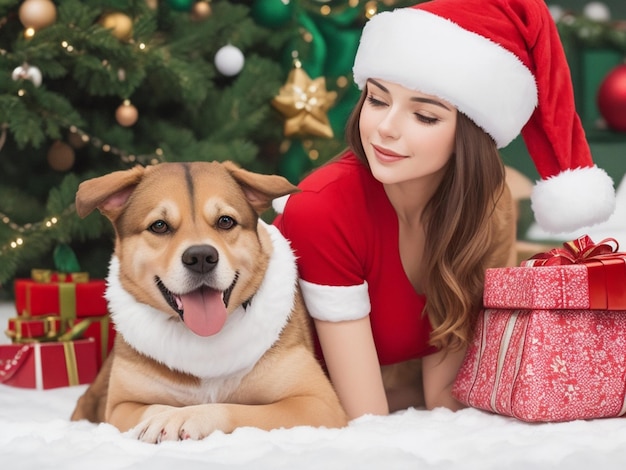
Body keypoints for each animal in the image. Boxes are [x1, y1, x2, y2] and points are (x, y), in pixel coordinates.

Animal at [70, 161, 348, 440]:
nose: (201, 257)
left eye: (225, 221)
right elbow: (153, 407)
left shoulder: (318, 403)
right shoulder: (120, 406)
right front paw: (163, 417)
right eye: (159, 226)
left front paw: (183, 416)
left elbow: (231, 407)